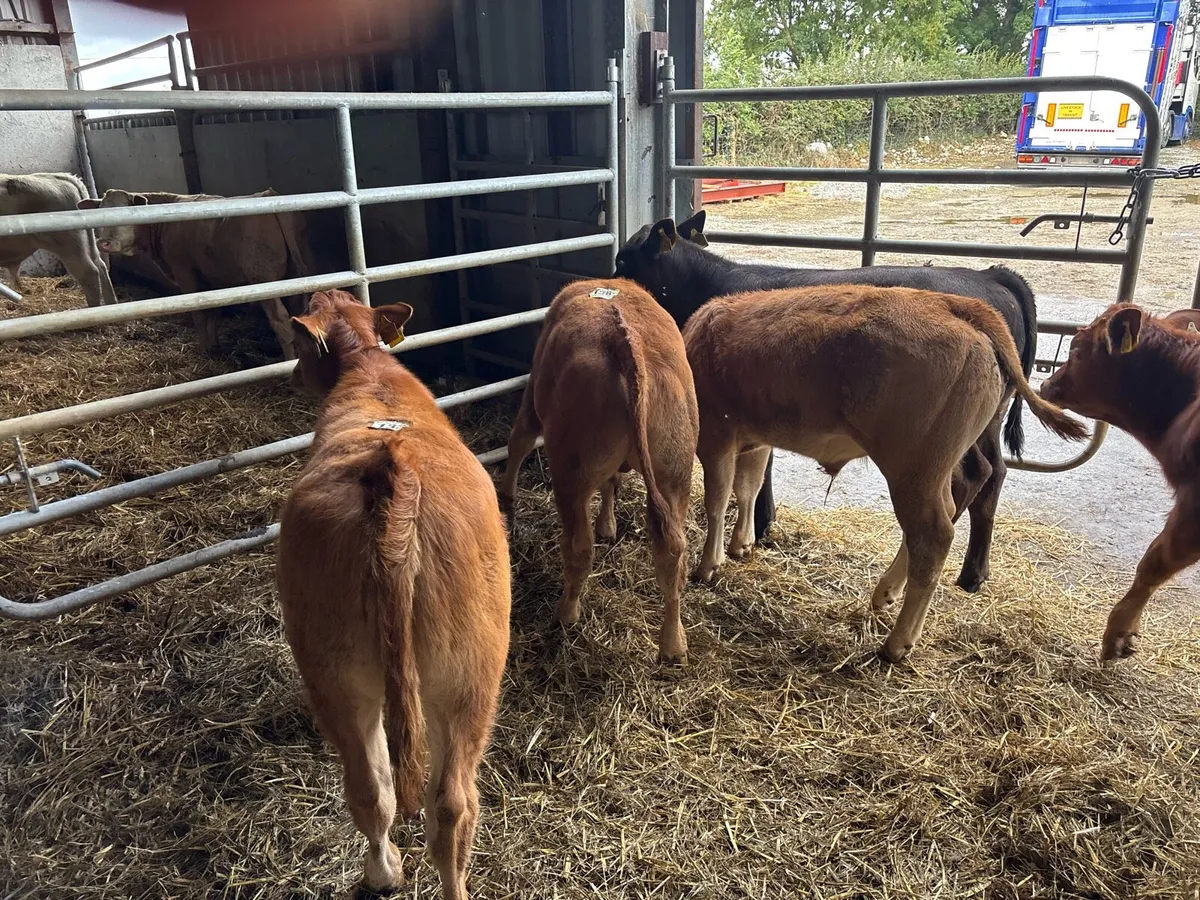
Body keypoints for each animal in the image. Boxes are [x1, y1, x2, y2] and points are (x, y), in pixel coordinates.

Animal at [77, 188, 314, 358]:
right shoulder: (209, 278)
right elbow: (212, 312)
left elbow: (199, 313)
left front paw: (205, 349)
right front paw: (214, 347)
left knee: (281, 322)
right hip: (296, 276)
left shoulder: (185, 273)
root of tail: (268, 195)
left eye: (125, 213)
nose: (104, 242)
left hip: (263, 280)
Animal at [277, 290, 510, 899]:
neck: (367, 367)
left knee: (386, 792)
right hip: (461, 676)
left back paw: (384, 873)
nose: (292, 374)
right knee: (433, 800)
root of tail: (394, 469)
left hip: (349, 678)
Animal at [498, 278, 699, 663]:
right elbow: (613, 482)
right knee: (673, 553)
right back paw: (673, 643)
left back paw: (566, 613)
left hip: (570, 474)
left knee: (579, 547)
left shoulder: (531, 402)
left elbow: (518, 442)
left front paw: (507, 501)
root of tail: (627, 341)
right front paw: (609, 524)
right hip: (675, 471)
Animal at [614, 211, 1040, 594]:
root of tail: (991, 276)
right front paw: (756, 530)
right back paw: (972, 574)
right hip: (983, 426)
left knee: (964, 487)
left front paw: (759, 527)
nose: (611, 277)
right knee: (991, 474)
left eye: (623, 259)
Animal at [683, 283, 1086, 661]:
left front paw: (708, 565)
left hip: (912, 470)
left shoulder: (716, 435)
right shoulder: (755, 439)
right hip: (933, 470)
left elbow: (717, 498)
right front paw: (741, 544)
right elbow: (747, 488)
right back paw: (886, 592)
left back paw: (897, 643)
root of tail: (952, 304)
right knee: (945, 510)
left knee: (933, 535)